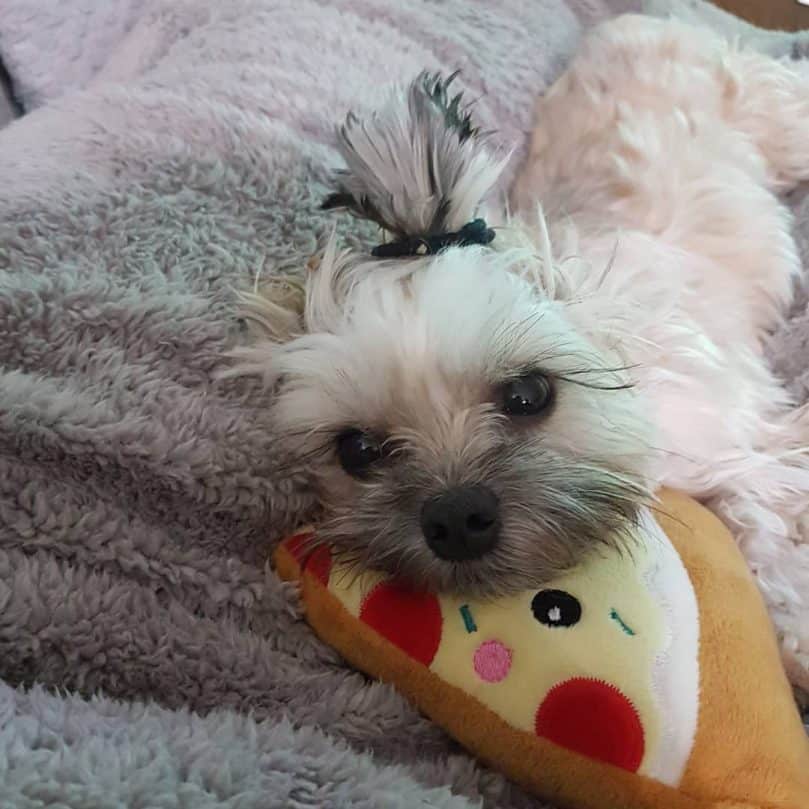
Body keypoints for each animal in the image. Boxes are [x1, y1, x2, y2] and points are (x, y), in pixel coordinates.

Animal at [227, 14, 808, 688]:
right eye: (357, 451)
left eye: (529, 394)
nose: (456, 519)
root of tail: (638, 19)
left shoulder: (745, 446)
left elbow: (768, 522)